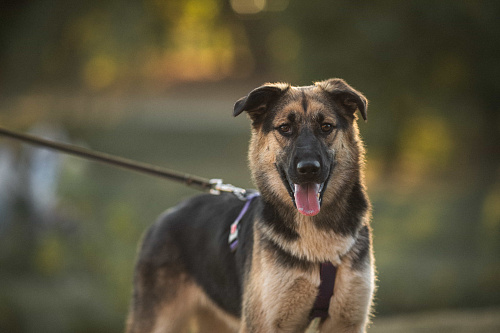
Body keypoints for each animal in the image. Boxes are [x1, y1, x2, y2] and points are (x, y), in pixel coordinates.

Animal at [125, 78, 376, 332]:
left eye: (326, 127)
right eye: (285, 128)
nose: (308, 169)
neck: (316, 241)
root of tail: (164, 217)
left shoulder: (345, 323)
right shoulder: (265, 323)